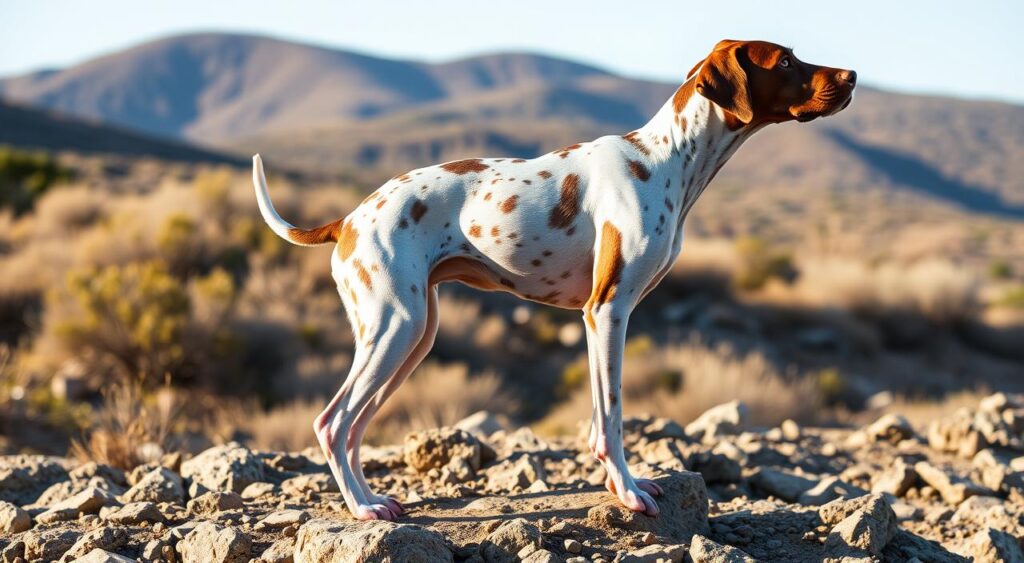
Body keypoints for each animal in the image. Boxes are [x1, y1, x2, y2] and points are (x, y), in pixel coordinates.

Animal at [256, 39, 856, 524]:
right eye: (785, 61)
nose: (852, 76)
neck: (668, 158)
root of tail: (348, 219)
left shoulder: (597, 319)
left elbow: (597, 417)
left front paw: (620, 485)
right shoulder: (609, 310)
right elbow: (612, 416)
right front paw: (630, 493)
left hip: (412, 336)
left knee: (354, 425)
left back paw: (371, 499)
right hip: (395, 327)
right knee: (332, 421)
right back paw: (361, 509)